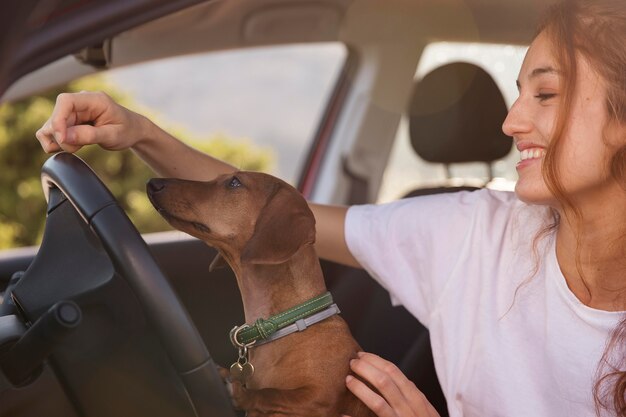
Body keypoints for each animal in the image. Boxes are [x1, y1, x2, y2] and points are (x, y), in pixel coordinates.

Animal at [146, 171, 370, 416]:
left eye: (234, 182)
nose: (153, 183)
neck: (285, 324)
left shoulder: (322, 397)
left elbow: (273, 394)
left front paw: (242, 393)